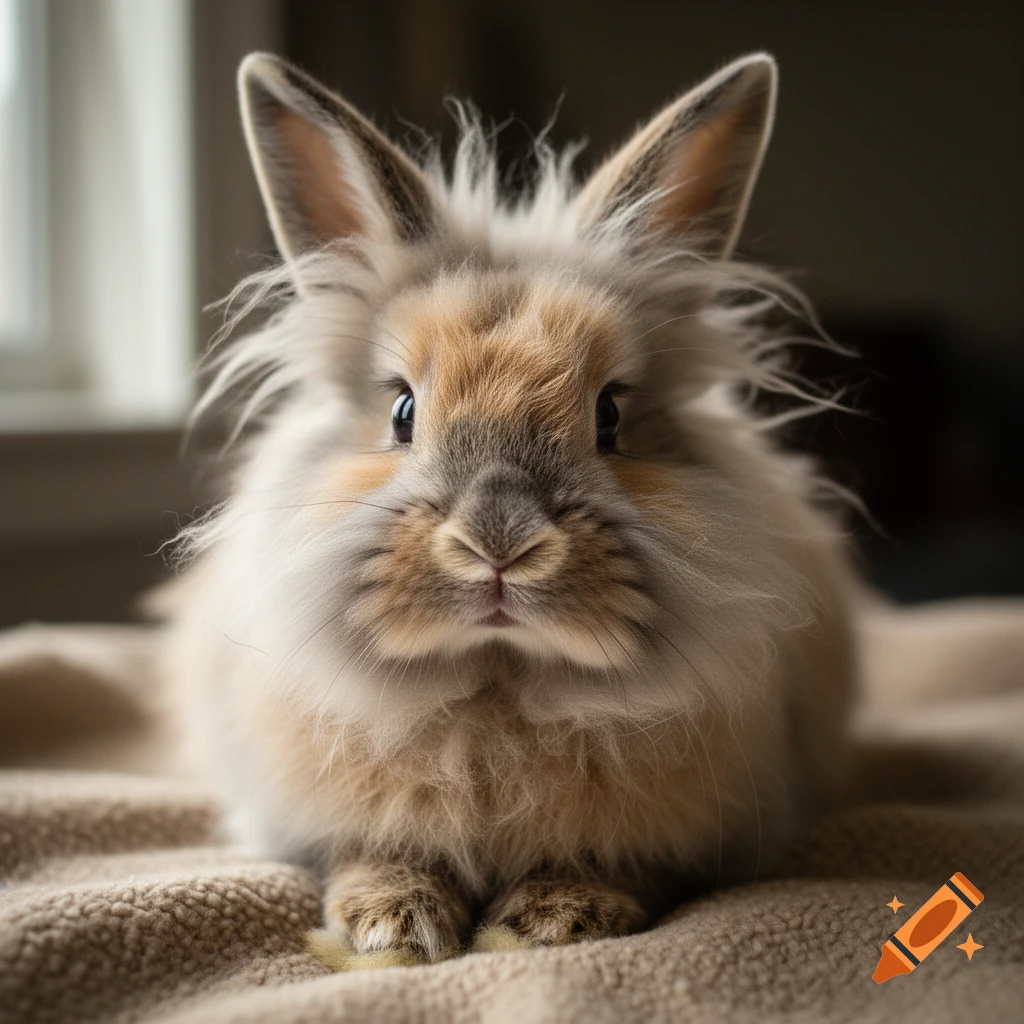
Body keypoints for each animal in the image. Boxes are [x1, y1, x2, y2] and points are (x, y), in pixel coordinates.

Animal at [164, 50, 859, 965]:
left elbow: (623, 867)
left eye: (610, 416)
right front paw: (394, 922)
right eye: (402, 411)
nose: (499, 545)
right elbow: (365, 854)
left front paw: (553, 920)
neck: (499, 689)